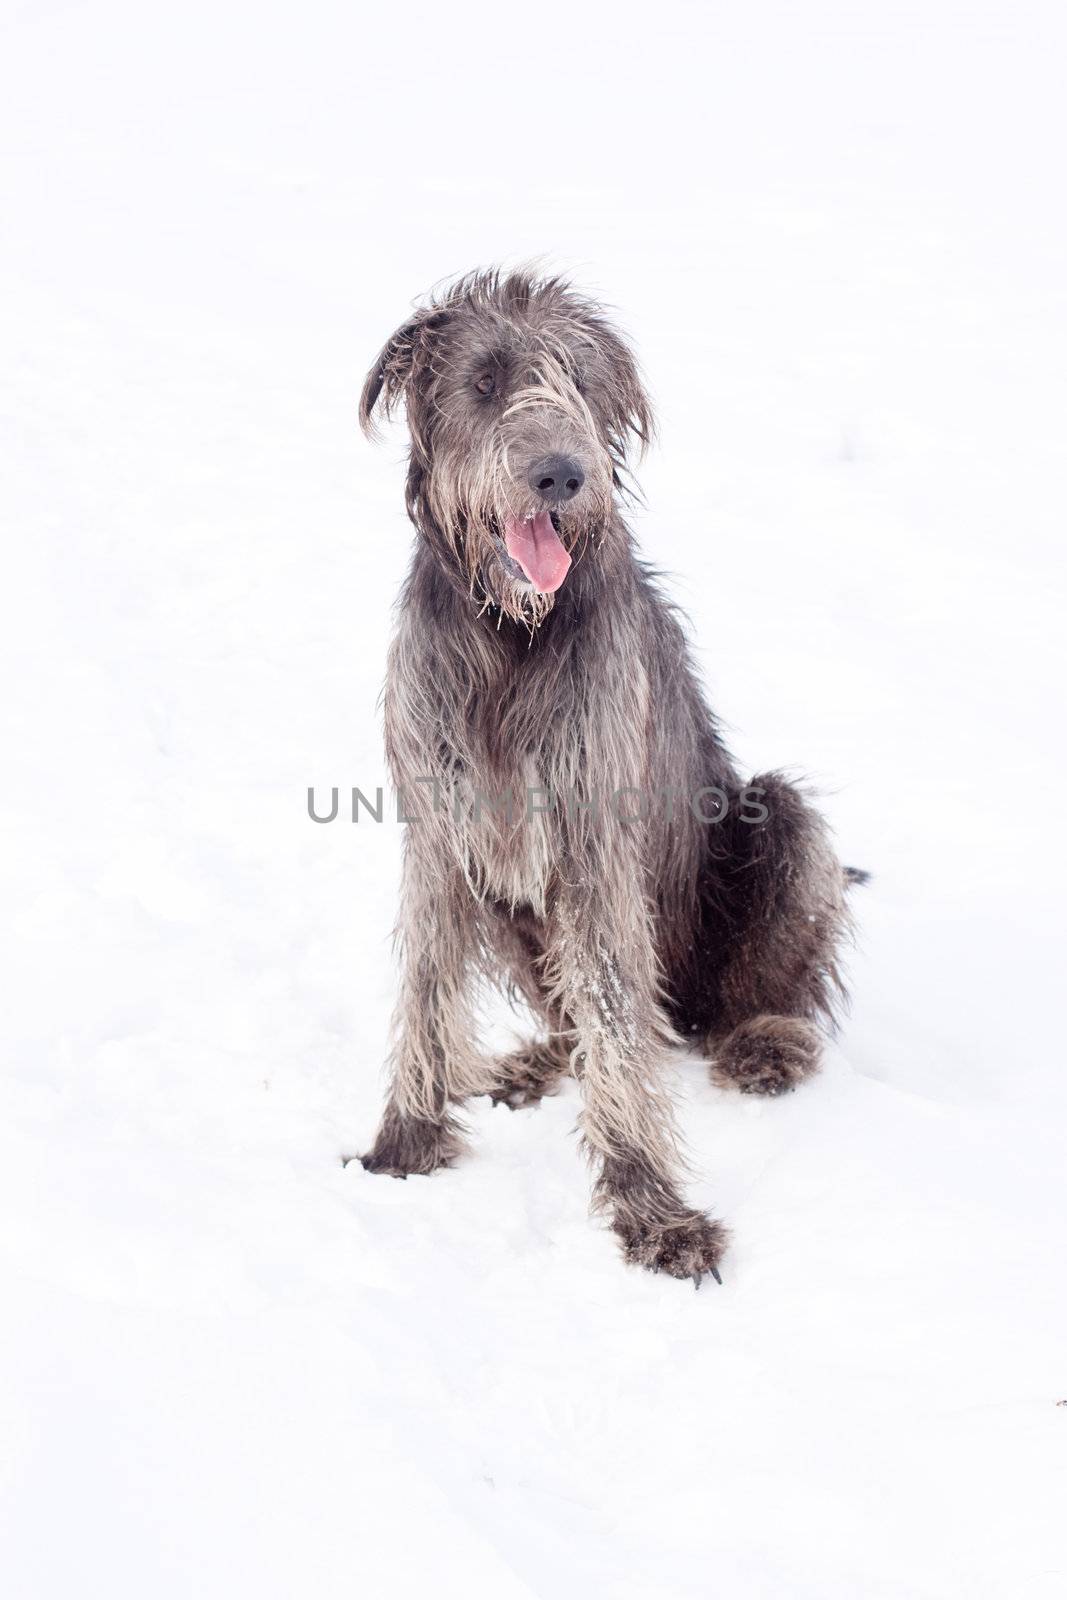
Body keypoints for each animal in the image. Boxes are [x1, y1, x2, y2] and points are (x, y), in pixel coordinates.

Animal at [355, 268, 857, 1280]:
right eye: (484, 381)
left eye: (578, 383)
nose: (560, 475)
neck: (510, 632)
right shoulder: (439, 831)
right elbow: (427, 983)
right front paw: (408, 1137)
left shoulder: (593, 836)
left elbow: (619, 1015)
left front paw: (649, 1207)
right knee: (570, 1016)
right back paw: (532, 1063)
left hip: (771, 829)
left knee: (732, 996)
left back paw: (765, 1042)